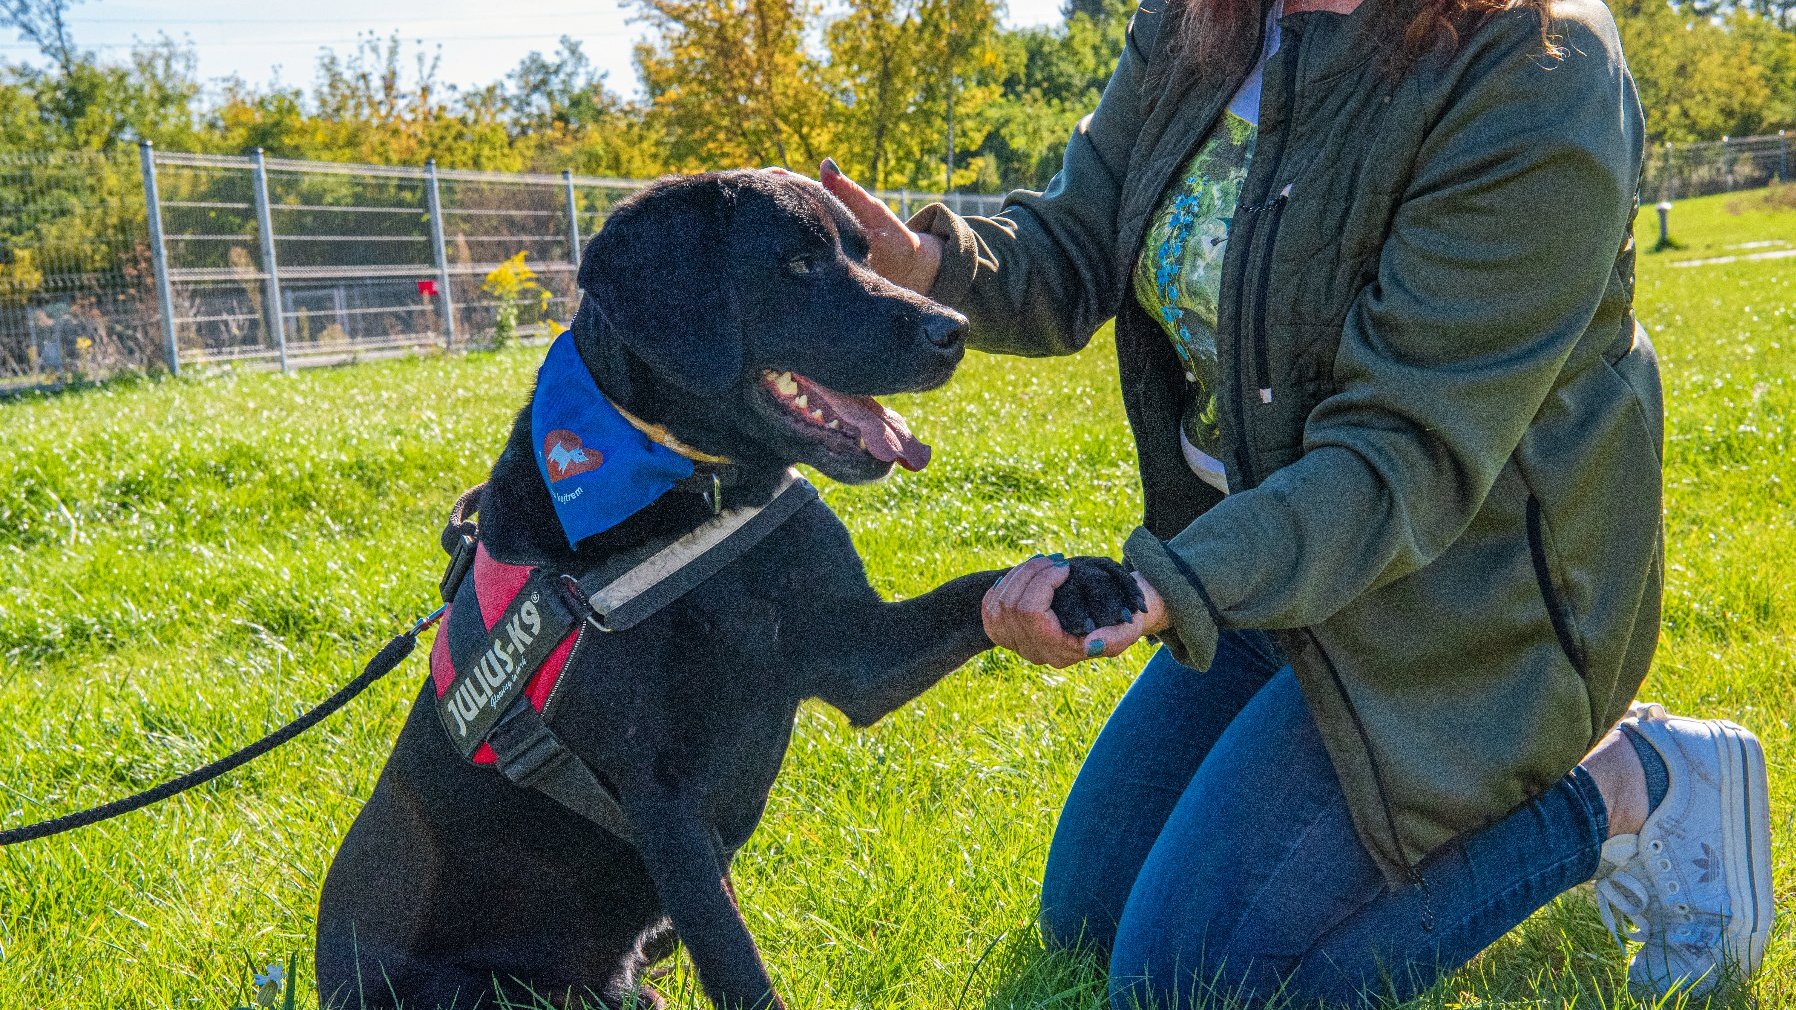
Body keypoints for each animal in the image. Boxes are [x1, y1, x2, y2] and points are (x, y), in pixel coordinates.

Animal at [316, 168, 1142, 999]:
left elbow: (969, 591)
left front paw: (1078, 586)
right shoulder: (665, 806)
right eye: (799, 264)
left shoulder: (856, 655)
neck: (705, 498)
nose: (954, 330)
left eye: (863, 249)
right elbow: (737, 965)